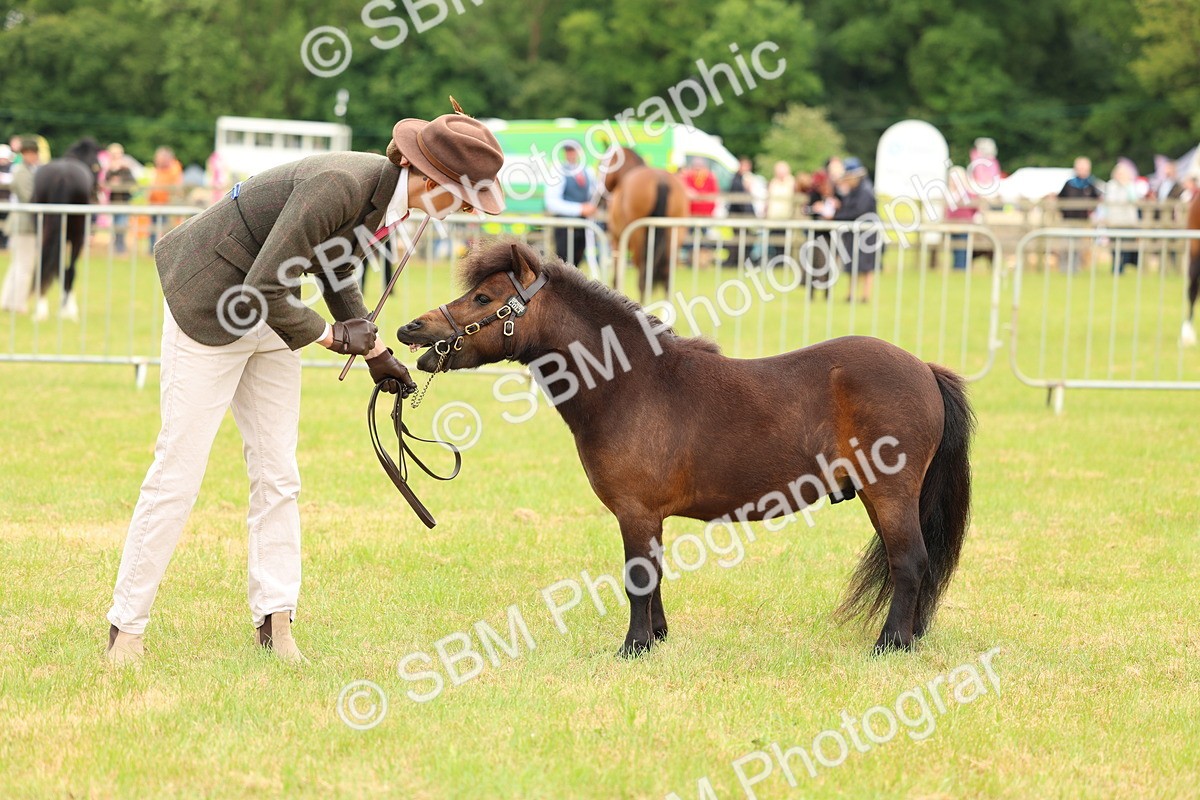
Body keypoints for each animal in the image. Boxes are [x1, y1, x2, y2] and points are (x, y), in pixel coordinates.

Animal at [32, 137, 102, 319]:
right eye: (97, 165)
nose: (97, 193)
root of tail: (61, 177)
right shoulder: (78, 239)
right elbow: (70, 270)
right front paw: (69, 309)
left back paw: (41, 309)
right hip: (77, 236)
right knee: (69, 269)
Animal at [396, 240, 975, 656]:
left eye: (484, 298)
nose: (410, 329)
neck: (630, 384)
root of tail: (925, 369)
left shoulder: (634, 511)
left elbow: (637, 578)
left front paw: (632, 648)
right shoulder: (650, 517)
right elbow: (653, 577)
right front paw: (656, 637)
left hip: (890, 493)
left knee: (909, 560)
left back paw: (891, 645)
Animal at [599, 147, 689, 301]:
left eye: (603, 162)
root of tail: (660, 180)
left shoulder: (617, 239)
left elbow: (616, 276)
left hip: (638, 237)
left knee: (642, 275)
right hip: (674, 234)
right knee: (666, 276)